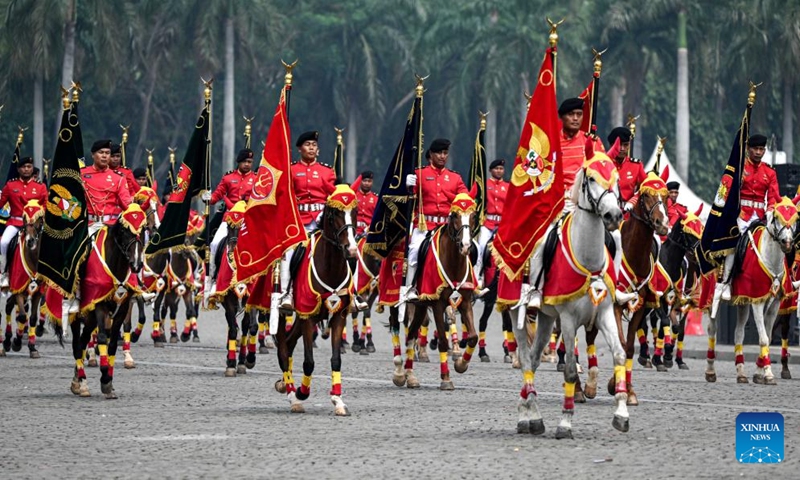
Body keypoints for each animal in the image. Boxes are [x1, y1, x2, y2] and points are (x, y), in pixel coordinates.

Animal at [276, 186, 360, 414]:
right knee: (282, 348)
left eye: (355, 212)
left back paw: (286, 386)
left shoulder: (338, 316)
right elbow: (308, 362)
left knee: (287, 344)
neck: (330, 268)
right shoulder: (308, 317)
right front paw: (301, 393)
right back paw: (292, 396)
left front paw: (338, 400)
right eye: (334, 213)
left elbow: (336, 359)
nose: (351, 250)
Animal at [392, 193, 476, 392]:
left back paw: (410, 376)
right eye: (455, 215)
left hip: (421, 305)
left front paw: (461, 364)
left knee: (411, 334)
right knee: (395, 327)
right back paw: (399, 373)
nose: (466, 246)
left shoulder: (464, 301)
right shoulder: (438, 303)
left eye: (473, 215)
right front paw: (446, 379)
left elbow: (473, 337)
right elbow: (443, 341)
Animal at [516, 154, 628, 438]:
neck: (589, 260)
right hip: (516, 312)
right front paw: (565, 422)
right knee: (525, 360)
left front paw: (622, 413)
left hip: (546, 317)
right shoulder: (567, 319)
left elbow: (619, 354)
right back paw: (526, 416)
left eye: (616, 178)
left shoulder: (605, 313)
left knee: (534, 359)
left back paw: (530, 415)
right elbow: (568, 368)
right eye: (591, 178)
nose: (613, 215)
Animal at [708, 197, 792, 384]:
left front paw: (760, 372)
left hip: (743, 303)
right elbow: (763, 339)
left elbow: (767, 336)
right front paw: (768, 373)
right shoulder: (757, 301)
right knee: (712, 329)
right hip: (710, 301)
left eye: (795, 217)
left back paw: (741, 373)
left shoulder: (773, 303)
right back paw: (710, 371)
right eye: (776, 218)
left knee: (738, 333)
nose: (787, 243)